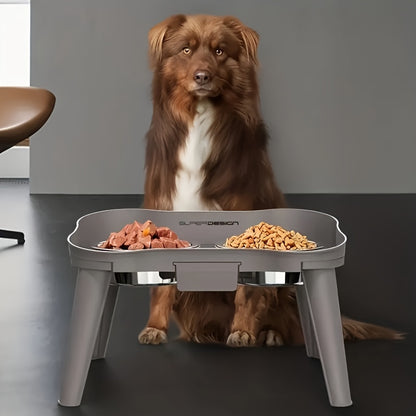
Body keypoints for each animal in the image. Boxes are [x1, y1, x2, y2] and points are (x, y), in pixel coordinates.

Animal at [139, 13, 400, 344]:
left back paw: (269, 333)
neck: (199, 118)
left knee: (288, 319)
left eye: (220, 51)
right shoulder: (165, 202)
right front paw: (155, 328)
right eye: (186, 50)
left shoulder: (244, 211)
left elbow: (247, 290)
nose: (202, 77)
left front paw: (242, 332)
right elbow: (162, 285)